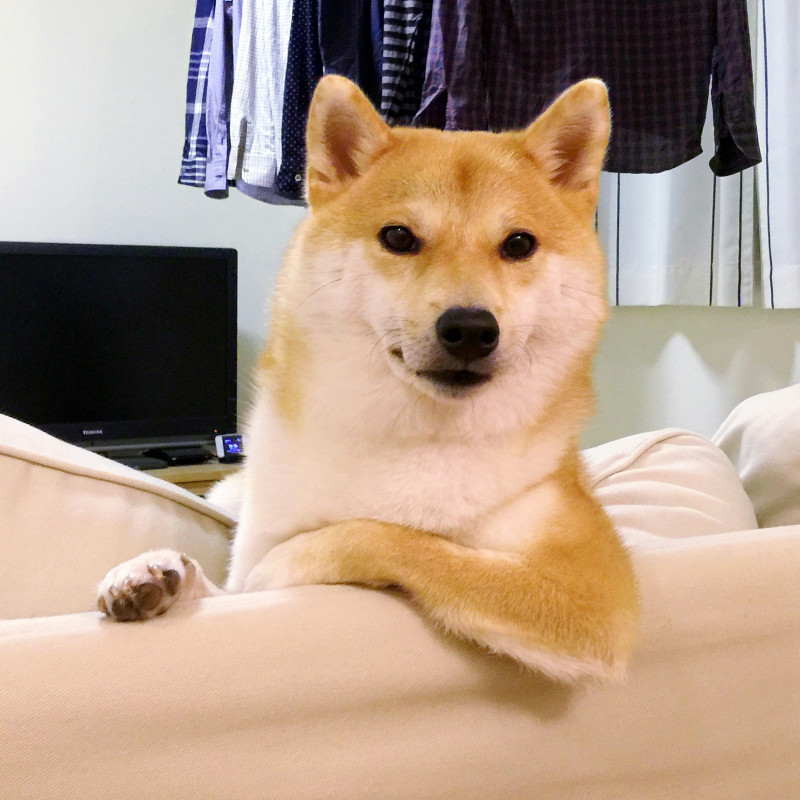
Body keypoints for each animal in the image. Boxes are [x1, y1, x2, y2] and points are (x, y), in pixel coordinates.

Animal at [97, 75, 638, 683]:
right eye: (399, 237)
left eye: (519, 244)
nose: (471, 329)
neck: (402, 438)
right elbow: (235, 585)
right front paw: (157, 571)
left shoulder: (594, 597)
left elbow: (390, 538)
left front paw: (282, 564)